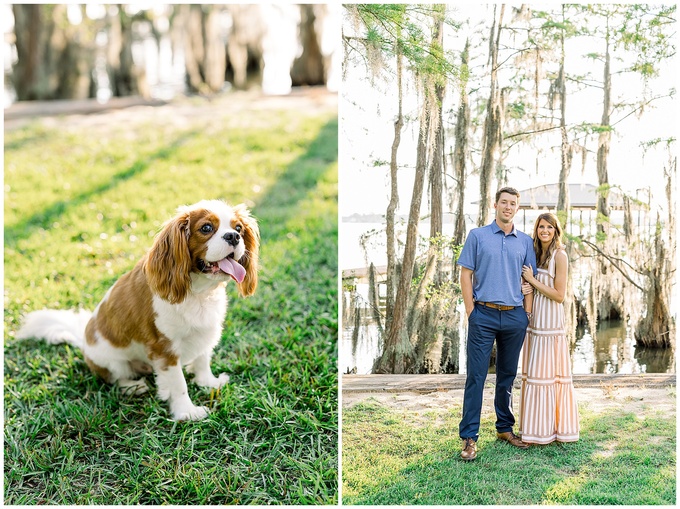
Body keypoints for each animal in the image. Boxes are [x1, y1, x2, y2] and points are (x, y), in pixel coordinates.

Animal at [16, 199, 260, 420]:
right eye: (207, 228)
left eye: (238, 228)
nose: (233, 237)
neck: (198, 291)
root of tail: (83, 341)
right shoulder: (164, 349)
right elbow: (179, 384)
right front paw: (187, 412)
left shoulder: (205, 330)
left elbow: (202, 361)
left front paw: (208, 382)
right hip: (113, 361)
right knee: (115, 379)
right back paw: (133, 387)